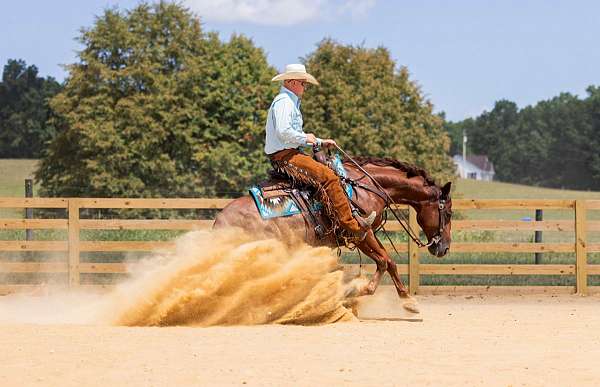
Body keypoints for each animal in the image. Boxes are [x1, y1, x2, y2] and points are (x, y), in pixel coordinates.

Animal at [213, 157, 452, 312]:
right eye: (448, 213)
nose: (444, 247)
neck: (364, 188)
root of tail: (220, 221)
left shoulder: (364, 236)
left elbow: (386, 261)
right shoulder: (361, 233)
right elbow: (386, 261)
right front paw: (363, 292)